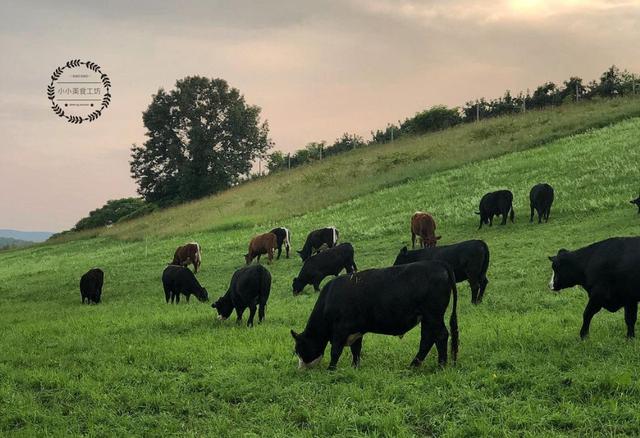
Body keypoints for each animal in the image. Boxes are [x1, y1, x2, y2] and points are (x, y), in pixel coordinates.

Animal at [288, 262, 458, 372]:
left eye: (299, 349)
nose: (300, 369)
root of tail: (439, 265)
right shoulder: (356, 330)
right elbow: (356, 350)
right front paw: (355, 367)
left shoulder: (340, 331)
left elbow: (335, 351)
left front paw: (331, 369)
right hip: (428, 318)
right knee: (428, 339)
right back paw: (414, 365)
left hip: (433, 315)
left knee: (440, 336)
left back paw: (441, 366)